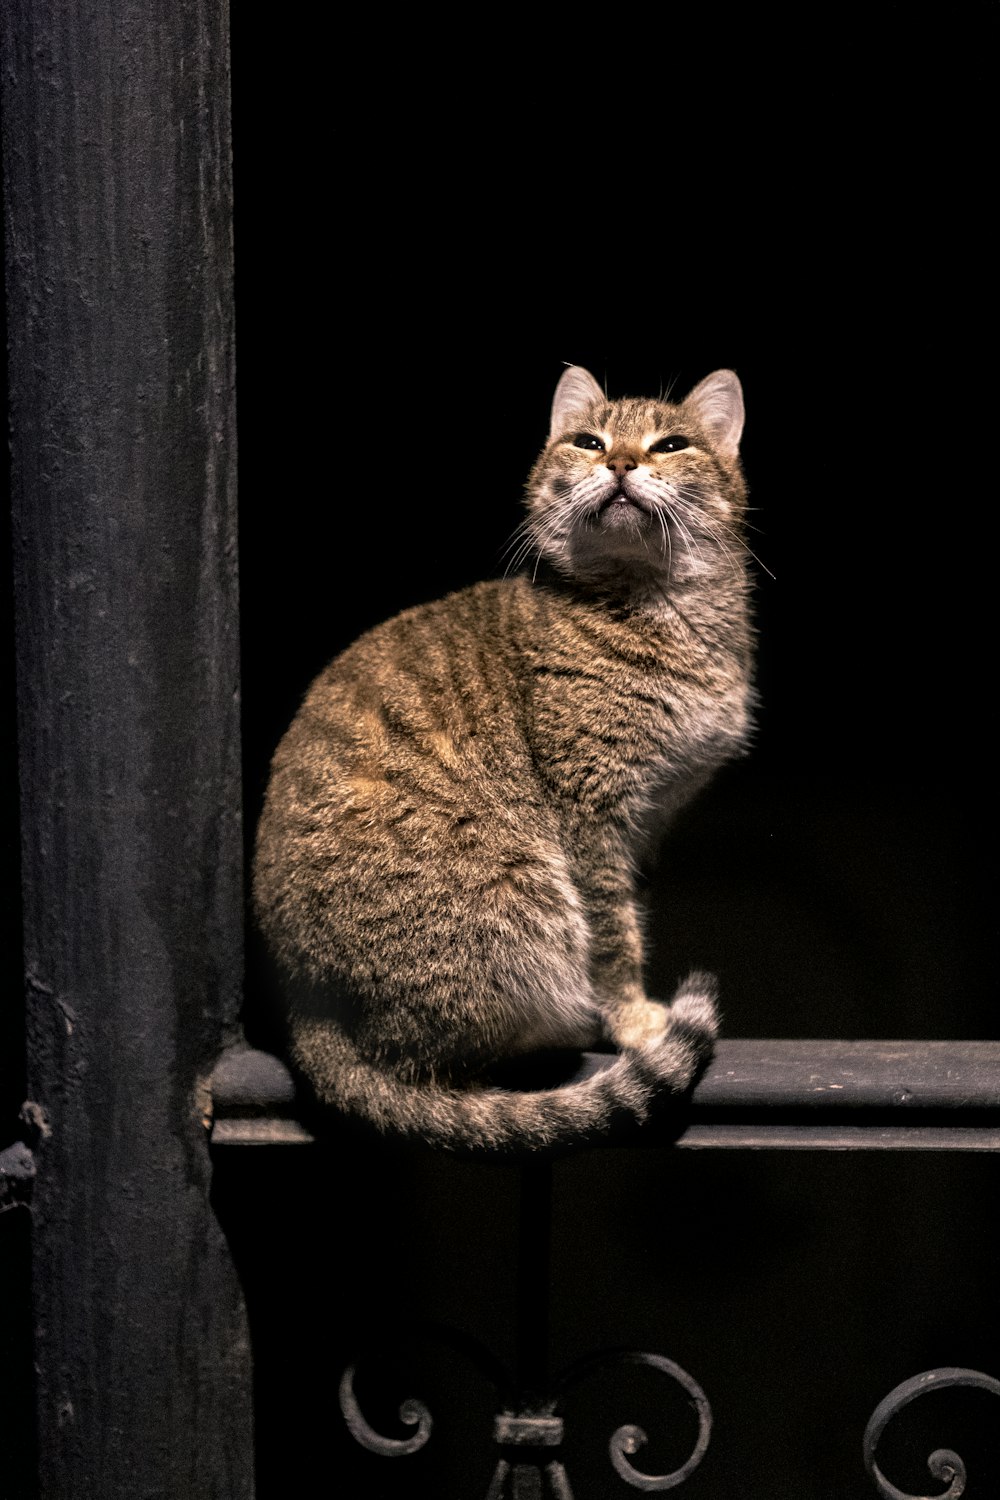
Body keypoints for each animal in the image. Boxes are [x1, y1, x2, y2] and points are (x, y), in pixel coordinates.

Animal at [254, 363, 755, 1146]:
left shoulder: (649, 817)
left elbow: (630, 914)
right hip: (525, 899)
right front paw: (637, 1020)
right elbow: (613, 935)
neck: (655, 606)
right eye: (588, 441)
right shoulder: (592, 812)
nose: (621, 463)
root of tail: (311, 1026)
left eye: (671, 445)